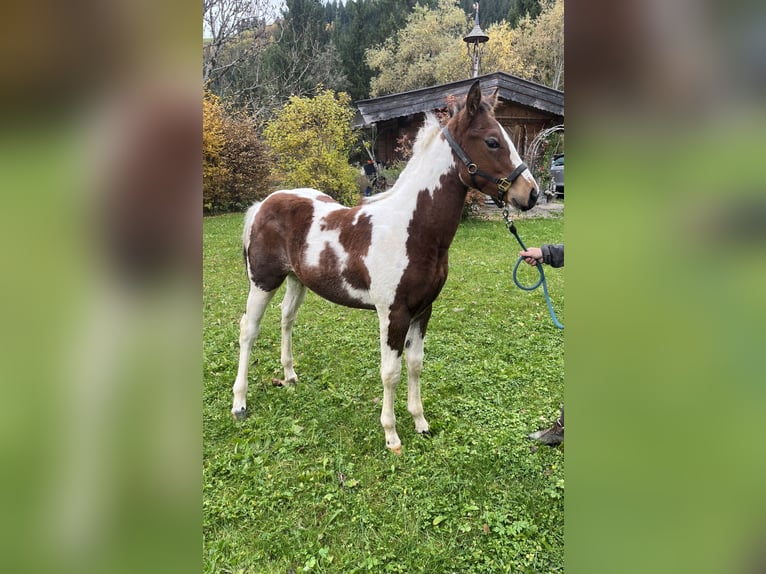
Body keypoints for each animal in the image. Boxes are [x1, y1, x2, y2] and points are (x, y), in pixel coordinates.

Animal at [231, 80, 539, 454]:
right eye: (493, 141)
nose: (531, 193)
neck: (412, 229)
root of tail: (263, 203)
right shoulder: (394, 313)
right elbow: (390, 371)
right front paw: (392, 435)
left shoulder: (424, 310)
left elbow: (416, 364)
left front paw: (420, 422)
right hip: (263, 281)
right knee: (248, 330)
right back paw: (239, 403)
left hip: (296, 280)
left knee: (287, 319)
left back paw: (289, 376)